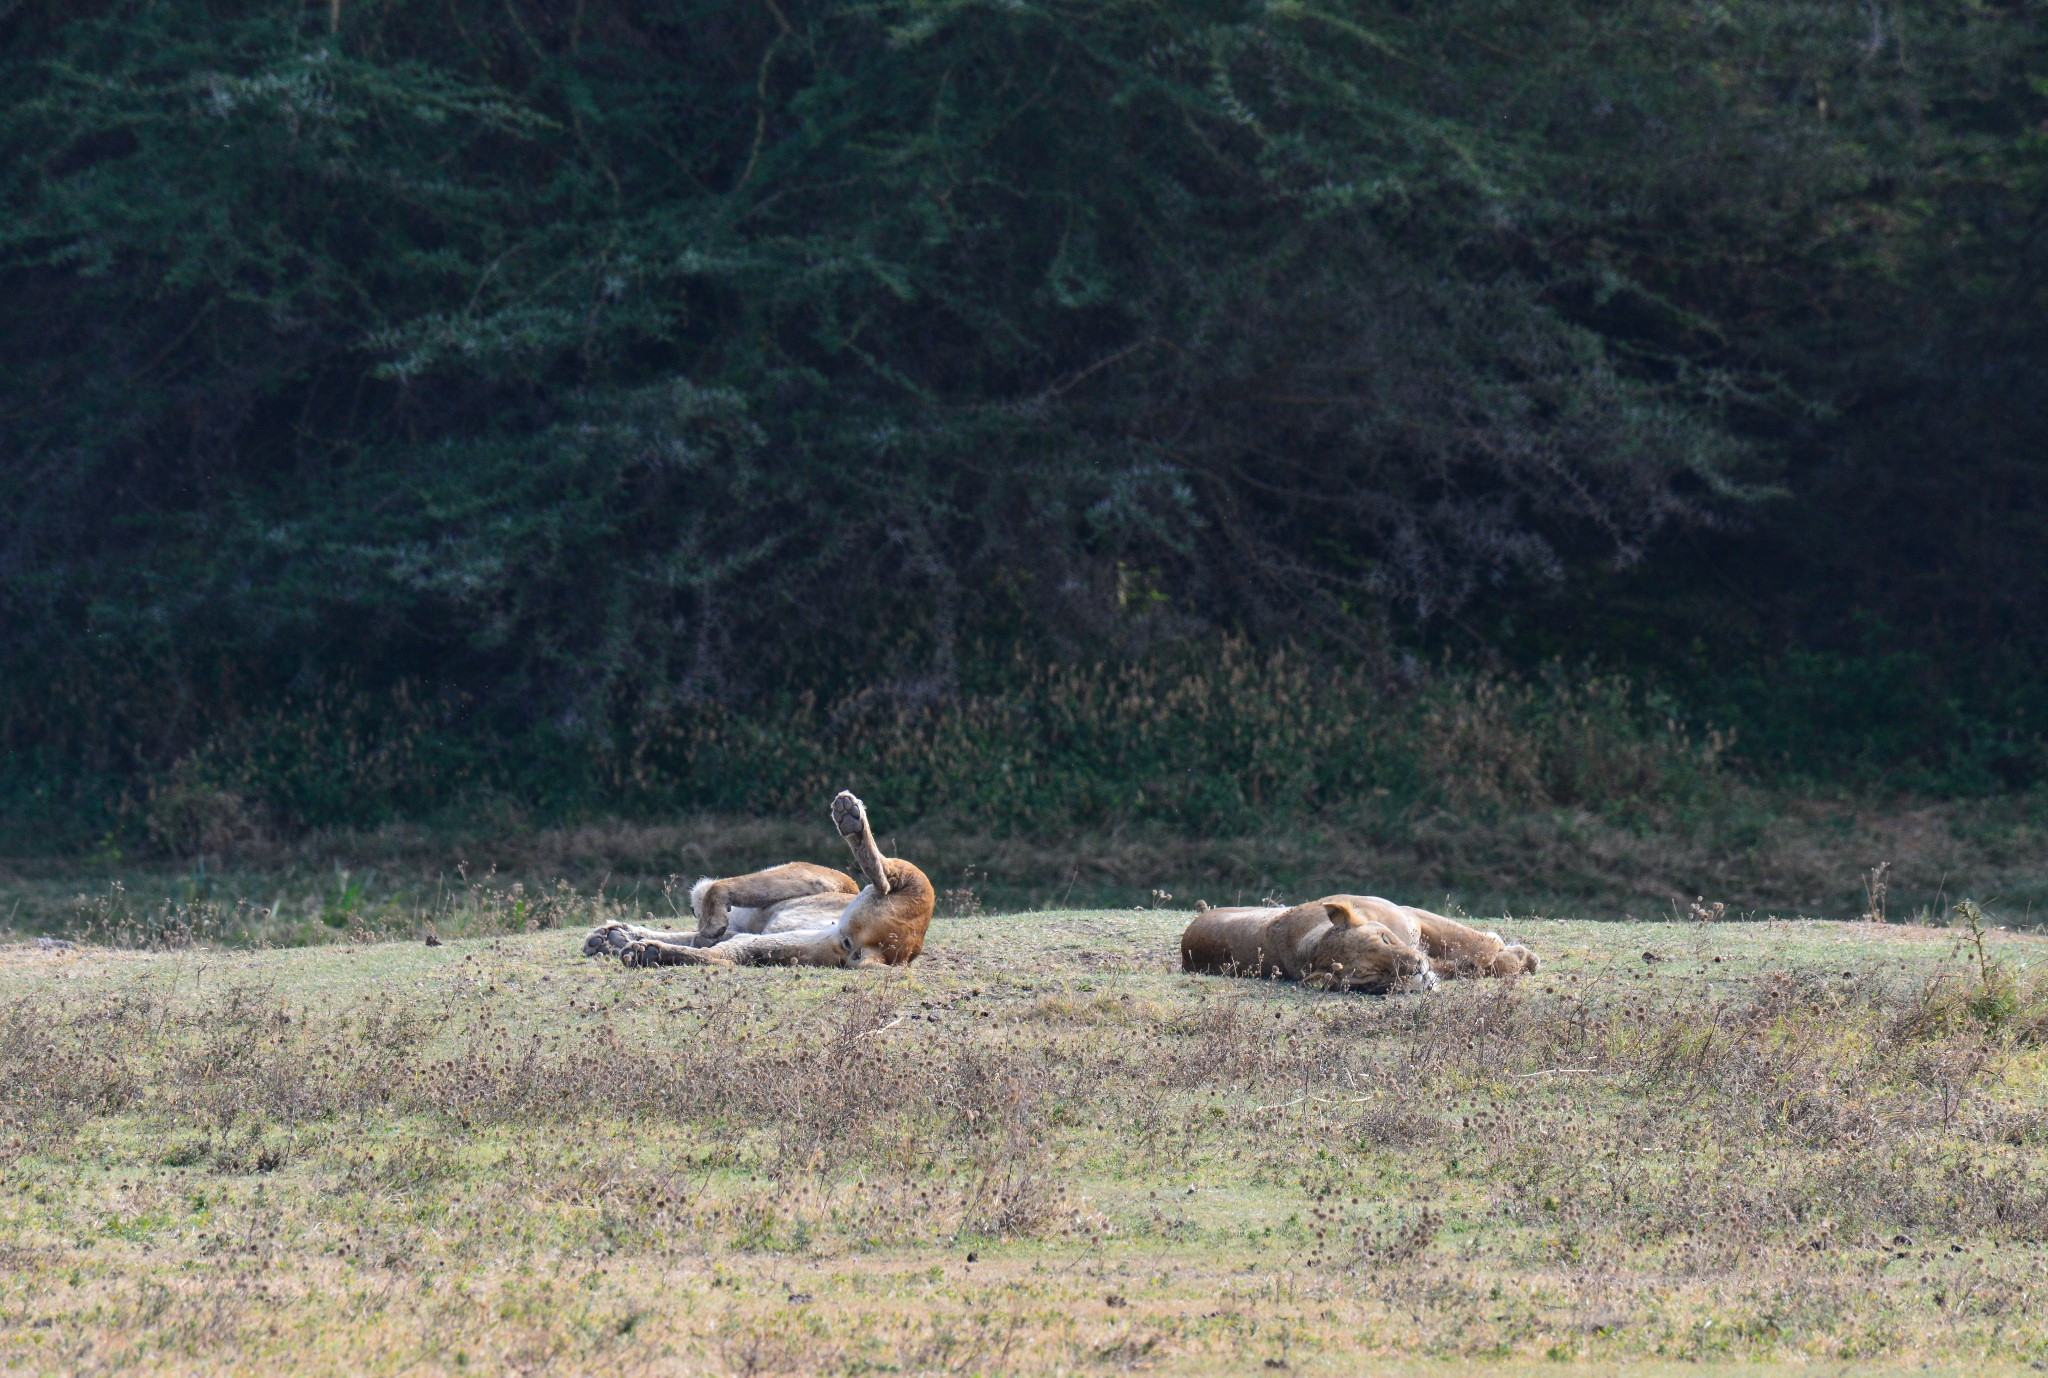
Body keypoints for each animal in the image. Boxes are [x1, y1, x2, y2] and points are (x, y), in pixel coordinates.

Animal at [1187, 892, 1540, 991]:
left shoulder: (1408, 914)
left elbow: (1473, 944)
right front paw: (1514, 958)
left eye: (1384, 938)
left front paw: (1515, 954)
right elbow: (1473, 961)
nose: (1416, 969)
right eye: (1372, 974)